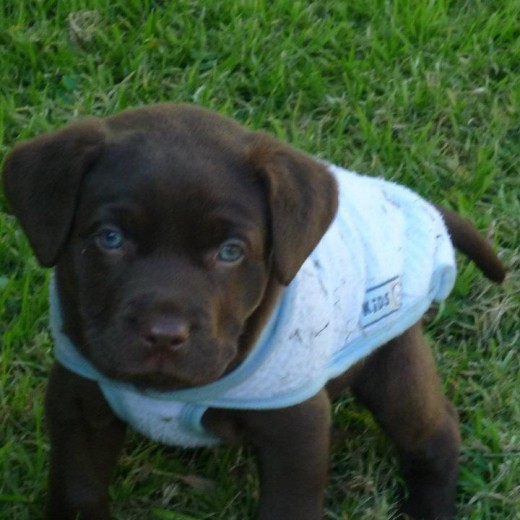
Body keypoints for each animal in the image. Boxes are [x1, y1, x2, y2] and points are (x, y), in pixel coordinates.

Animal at [1, 103, 504, 516]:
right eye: (110, 238)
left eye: (230, 252)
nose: (164, 334)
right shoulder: (78, 402)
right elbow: (78, 490)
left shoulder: (296, 431)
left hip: (391, 362)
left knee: (435, 435)